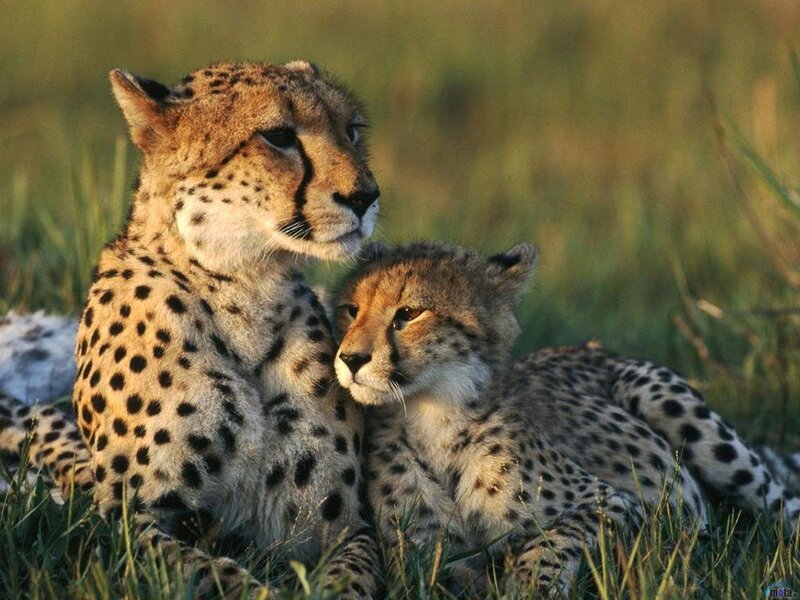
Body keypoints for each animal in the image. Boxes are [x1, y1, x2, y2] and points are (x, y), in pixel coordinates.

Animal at [0, 60, 382, 598]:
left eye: (351, 130)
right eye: (279, 136)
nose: (365, 197)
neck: (246, 289)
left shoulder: (342, 525)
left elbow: (353, 576)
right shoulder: (126, 525)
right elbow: (212, 572)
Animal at [331, 240, 800, 595]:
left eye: (409, 313)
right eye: (351, 310)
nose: (351, 359)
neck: (432, 415)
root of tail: (592, 347)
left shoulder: (629, 510)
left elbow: (553, 538)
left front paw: (528, 585)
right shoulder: (420, 557)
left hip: (669, 404)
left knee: (780, 504)